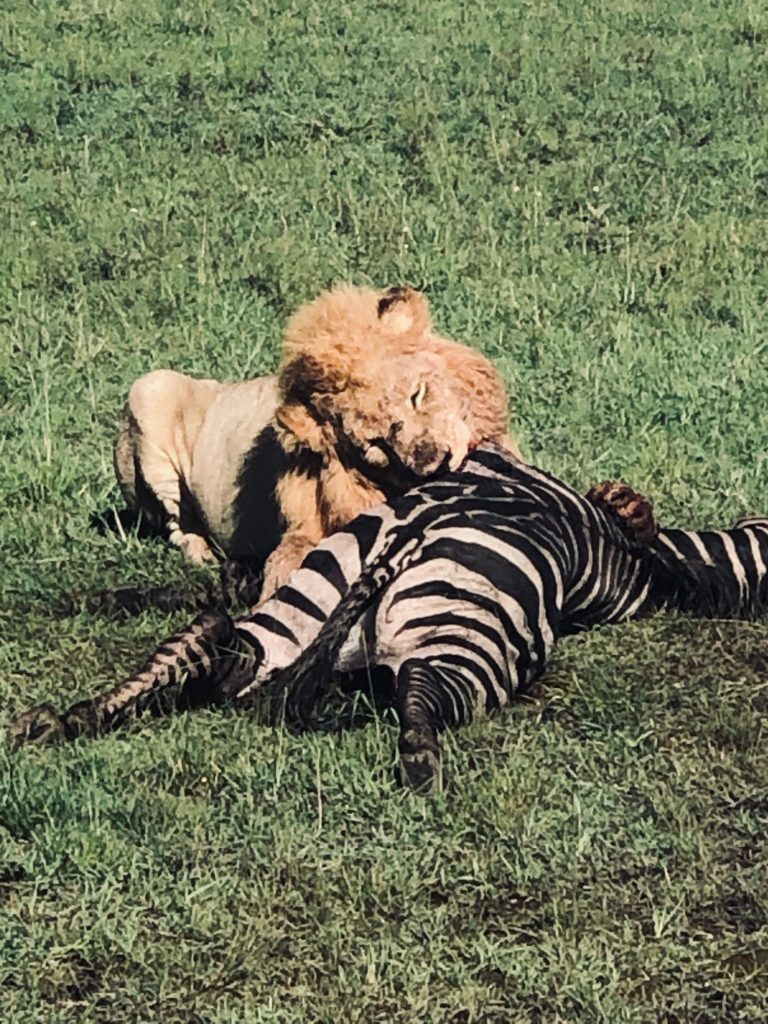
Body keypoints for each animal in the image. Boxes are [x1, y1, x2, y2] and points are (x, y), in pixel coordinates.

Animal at [7, 444, 768, 794]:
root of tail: (414, 533)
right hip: (452, 630)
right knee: (412, 686)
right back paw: (420, 762)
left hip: (329, 595)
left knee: (229, 650)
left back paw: (67, 719)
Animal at [114, 284, 520, 598]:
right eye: (376, 445)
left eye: (417, 395)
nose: (433, 464)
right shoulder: (304, 528)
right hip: (149, 390)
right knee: (177, 525)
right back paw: (205, 555)